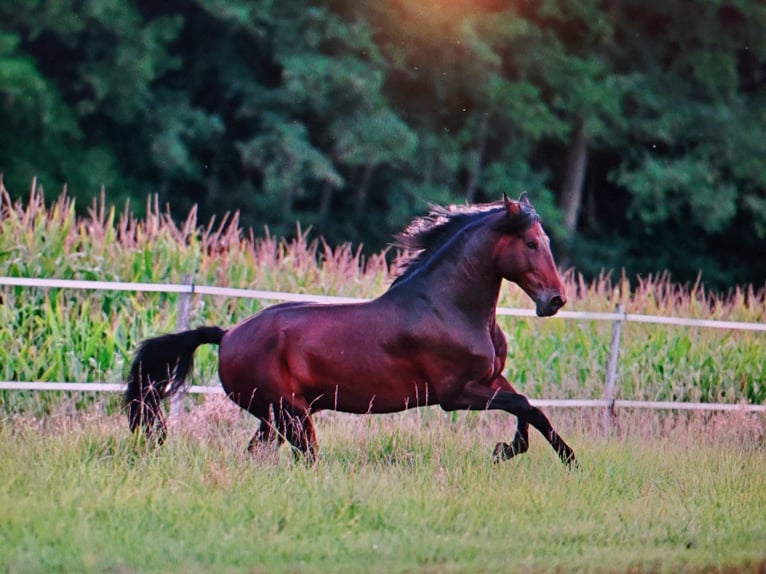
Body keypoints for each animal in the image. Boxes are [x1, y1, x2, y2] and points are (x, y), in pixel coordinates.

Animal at [125, 193, 576, 467]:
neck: (450, 308)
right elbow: (524, 407)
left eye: (546, 241)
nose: (555, 300)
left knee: (258, 453)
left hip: (273, 417)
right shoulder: (456, 394)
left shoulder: (491, 378)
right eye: (531, 244)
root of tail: (227, 336)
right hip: (290, 413)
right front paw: (521, 453)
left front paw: (530, 452)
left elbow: (530, 409)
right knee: (303, 457)